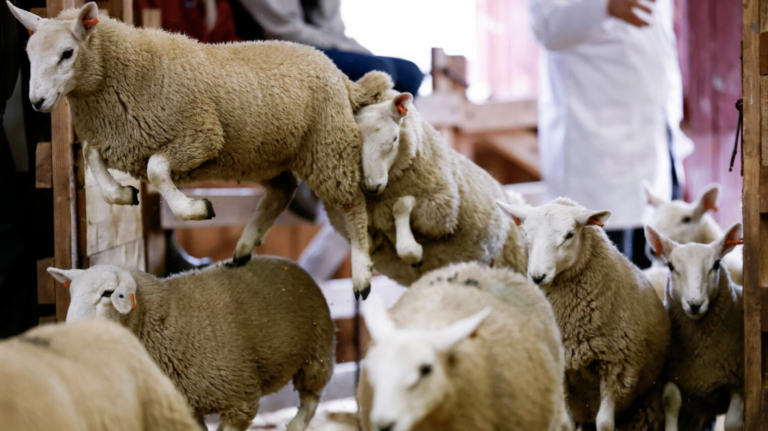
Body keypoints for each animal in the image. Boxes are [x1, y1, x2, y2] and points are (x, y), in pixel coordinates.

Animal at [7, 2, 394, 299]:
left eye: (67, 53)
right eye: (28, 55)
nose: (37, 102)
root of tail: (337, 73)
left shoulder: (200, 136)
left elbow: (156, 170)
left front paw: (194, 208)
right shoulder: (119, 138)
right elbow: (89, 154)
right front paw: (123, 194)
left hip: (329, 146)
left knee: (353, 204)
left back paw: (361, 274)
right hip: (264, 156)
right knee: (283, 190)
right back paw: (243, 248)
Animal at [49, 256, 335, 431]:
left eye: (108, 293)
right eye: (71, 292)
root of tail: (290, 262)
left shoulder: (240, 399)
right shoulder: (186, 404)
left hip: (316, 354)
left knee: (310, 399)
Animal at [326, 91, 525, 286]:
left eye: (394, 139)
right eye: (355, 143)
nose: (372, 187)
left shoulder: (440, 211)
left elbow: (401, 207)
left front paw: (412, 251)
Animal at [496, 197, 670, 431]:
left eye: (570, 234)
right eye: (526, 234)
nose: (537, 276)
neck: (570, 325)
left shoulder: (615, 366)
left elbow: (604, 423)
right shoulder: (563, 369)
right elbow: (566, 424)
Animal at [644, 223, 744, 431]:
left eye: (716, 264)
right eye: (671, 266)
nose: (695, 304)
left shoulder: (739, 384)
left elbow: (733, 423)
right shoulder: (672, 379)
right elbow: (671, 402)